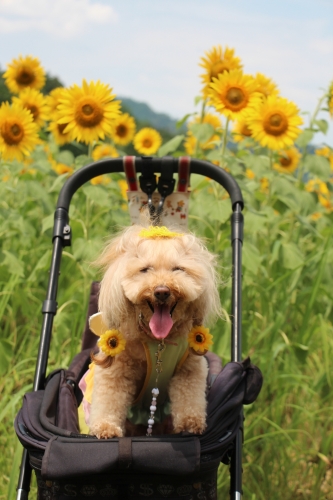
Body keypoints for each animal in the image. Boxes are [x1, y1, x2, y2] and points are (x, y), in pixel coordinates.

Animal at [80, 223, 220, 438]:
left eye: (178, 269)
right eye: (145, 270)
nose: (162, 291)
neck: (158, 342)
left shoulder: (189, 369)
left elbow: (189, 398)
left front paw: (190, 424)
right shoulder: (116, 371)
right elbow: (109, 399)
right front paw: (106, 428)